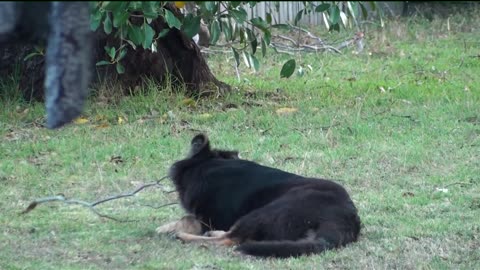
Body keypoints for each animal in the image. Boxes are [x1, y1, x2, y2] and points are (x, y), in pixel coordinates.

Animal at [158, 134, 360, 258]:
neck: (207, 164)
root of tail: (346, 219)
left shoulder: (208, 218)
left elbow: (187, 218)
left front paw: (170, 228)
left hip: (266, 212)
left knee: (232, 239)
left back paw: (184, 237)